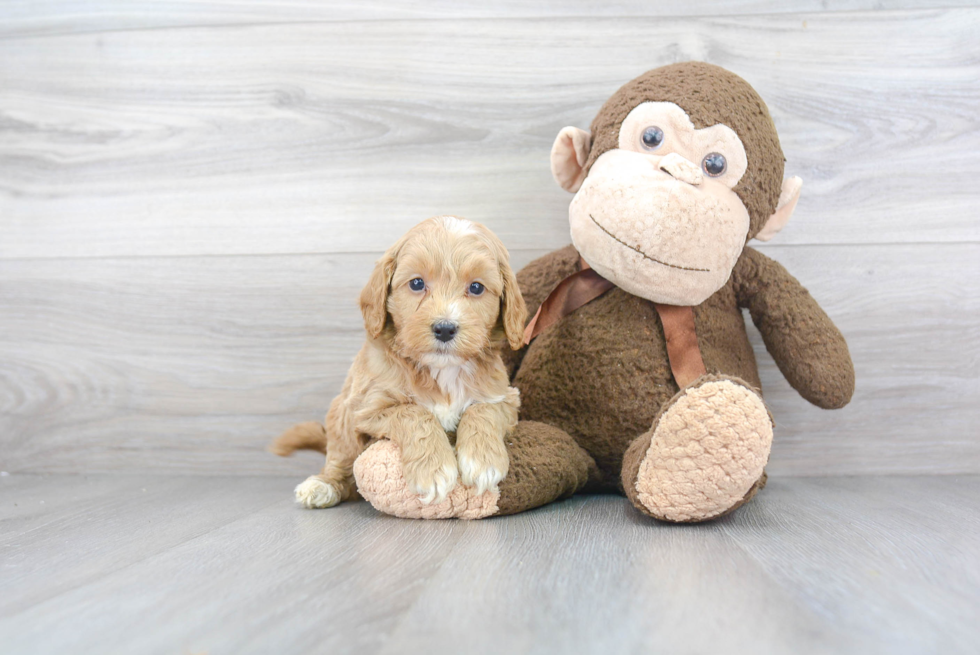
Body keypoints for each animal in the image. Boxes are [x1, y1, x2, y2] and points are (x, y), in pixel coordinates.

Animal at [268, 215, 528, 508]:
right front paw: (433, 470)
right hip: (340, 417)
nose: (445, 328)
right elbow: (414, 413)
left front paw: (483, 461)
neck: (442, 371)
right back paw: (322, 485)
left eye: (476, 287)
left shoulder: (505, 397)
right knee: (341, 466)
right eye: (416, 284)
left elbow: (482, 409)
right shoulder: (368, 409)